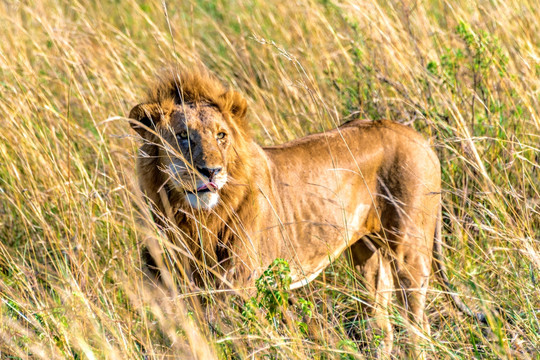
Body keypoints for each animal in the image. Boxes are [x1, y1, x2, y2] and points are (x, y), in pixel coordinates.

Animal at [130, 67, 480, 358]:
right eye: (182, 137)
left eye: (221, 136)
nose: (212, 171)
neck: (192, 217)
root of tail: (420, 138)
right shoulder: (172, 287)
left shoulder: (240, 284)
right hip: (366, 253)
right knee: (380, 325)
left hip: (409, 248)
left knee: (416, 327)